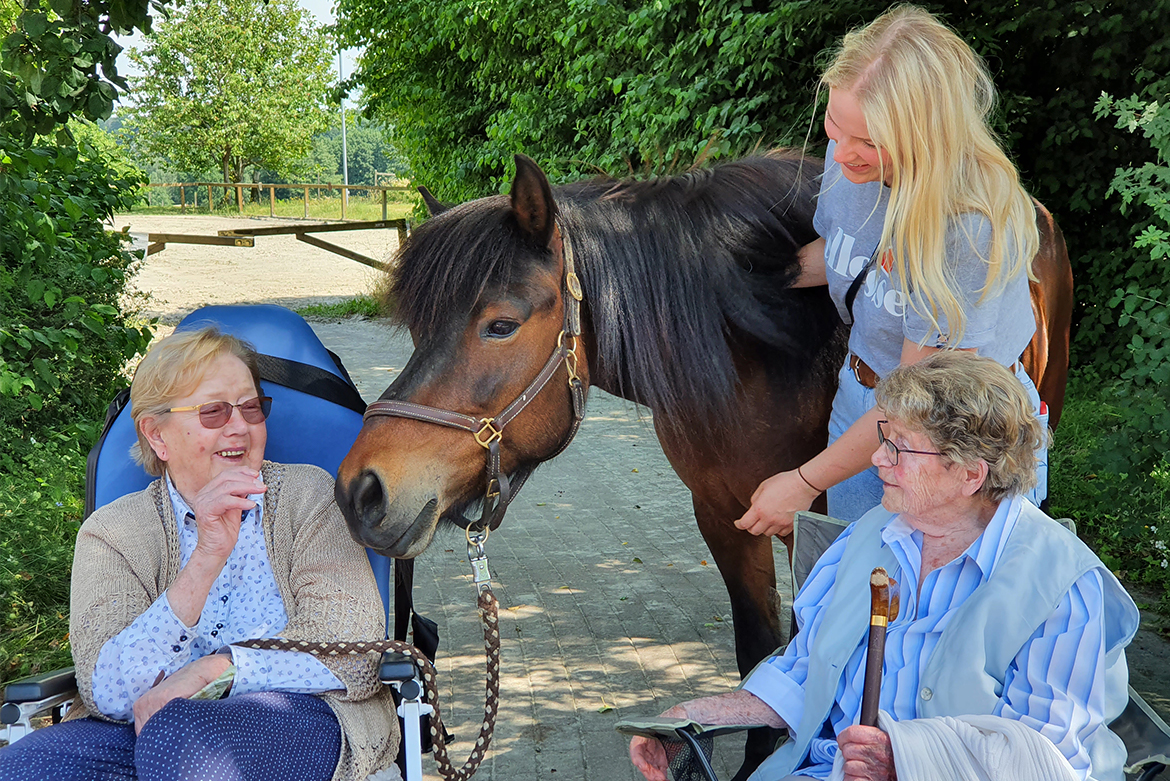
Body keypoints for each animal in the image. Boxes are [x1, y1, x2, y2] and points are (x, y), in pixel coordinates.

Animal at [334, 154, 1071, 781]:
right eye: (420, 329)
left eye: (501, 324)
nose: (363, 490)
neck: (761, 351)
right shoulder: (724, 513)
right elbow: (761, 649)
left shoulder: (823, 526)